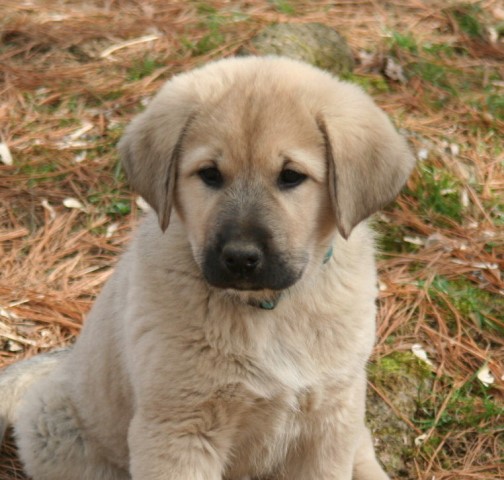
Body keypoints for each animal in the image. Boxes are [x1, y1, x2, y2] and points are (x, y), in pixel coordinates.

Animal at [0, 54, 416, 478]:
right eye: (210, 175)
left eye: (291, 176)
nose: (241, 258)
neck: (268, 311)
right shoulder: (180, 429)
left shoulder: (326, 423)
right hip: (59, 432)